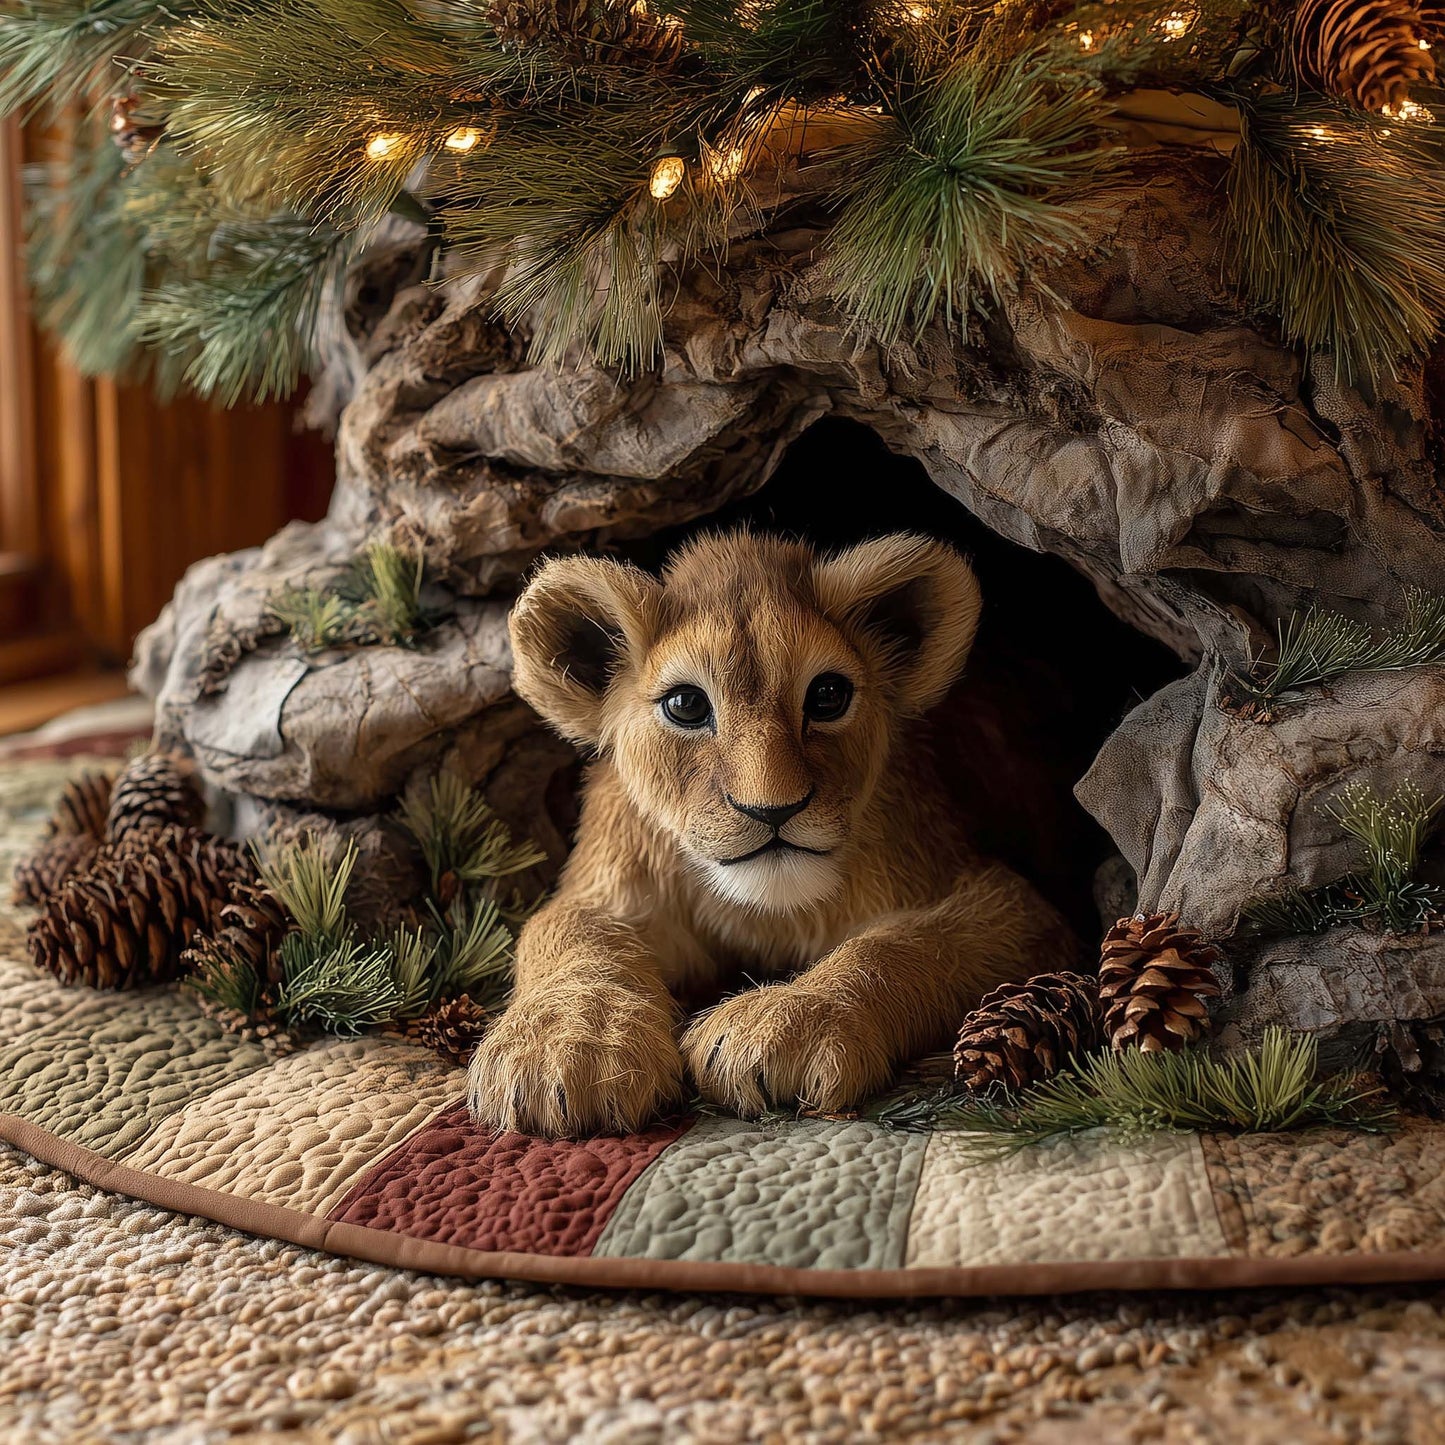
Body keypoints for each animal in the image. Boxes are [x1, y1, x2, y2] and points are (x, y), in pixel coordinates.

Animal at [468, 529, 1077, 1137]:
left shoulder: (1007, 906)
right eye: (687, 705)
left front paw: (781, 1027)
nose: (772, 810)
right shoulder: (611, 884)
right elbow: (566, 929)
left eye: (828, 696)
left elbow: (902, 945)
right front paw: (565, 1048)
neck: (761, 912)